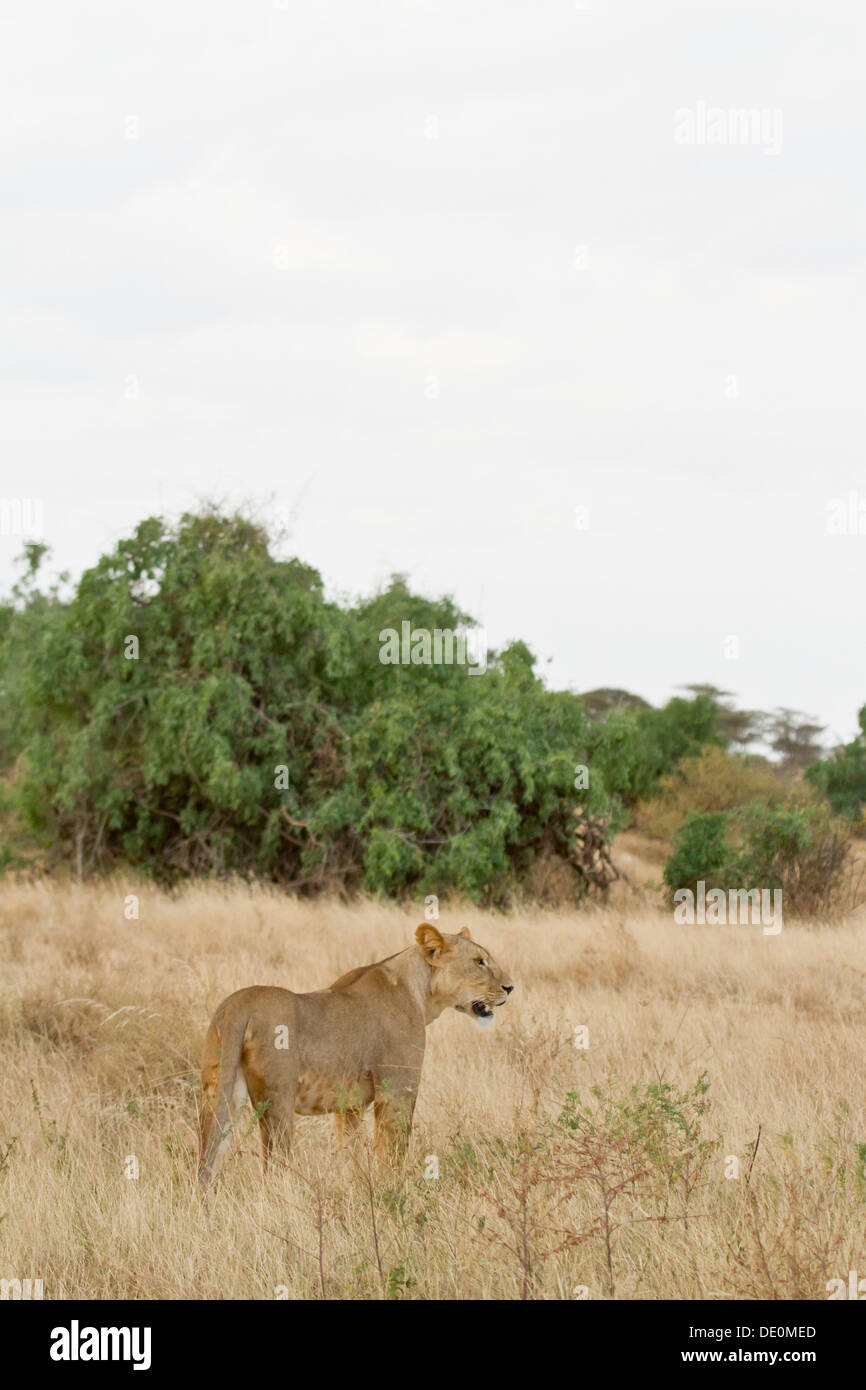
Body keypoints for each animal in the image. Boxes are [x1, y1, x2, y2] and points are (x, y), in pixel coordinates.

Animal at [197, 923, 514, 1187]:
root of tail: (238, 1006)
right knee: (274, 1165)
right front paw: (393, 1192)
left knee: (208, 1155)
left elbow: (347, 1151)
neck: (421, 994)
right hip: (277, 1100)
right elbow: (392, 1151)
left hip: (218, 1090)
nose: (510, 987)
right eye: (479, 961)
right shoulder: (398, 1089)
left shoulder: (348, 1105)